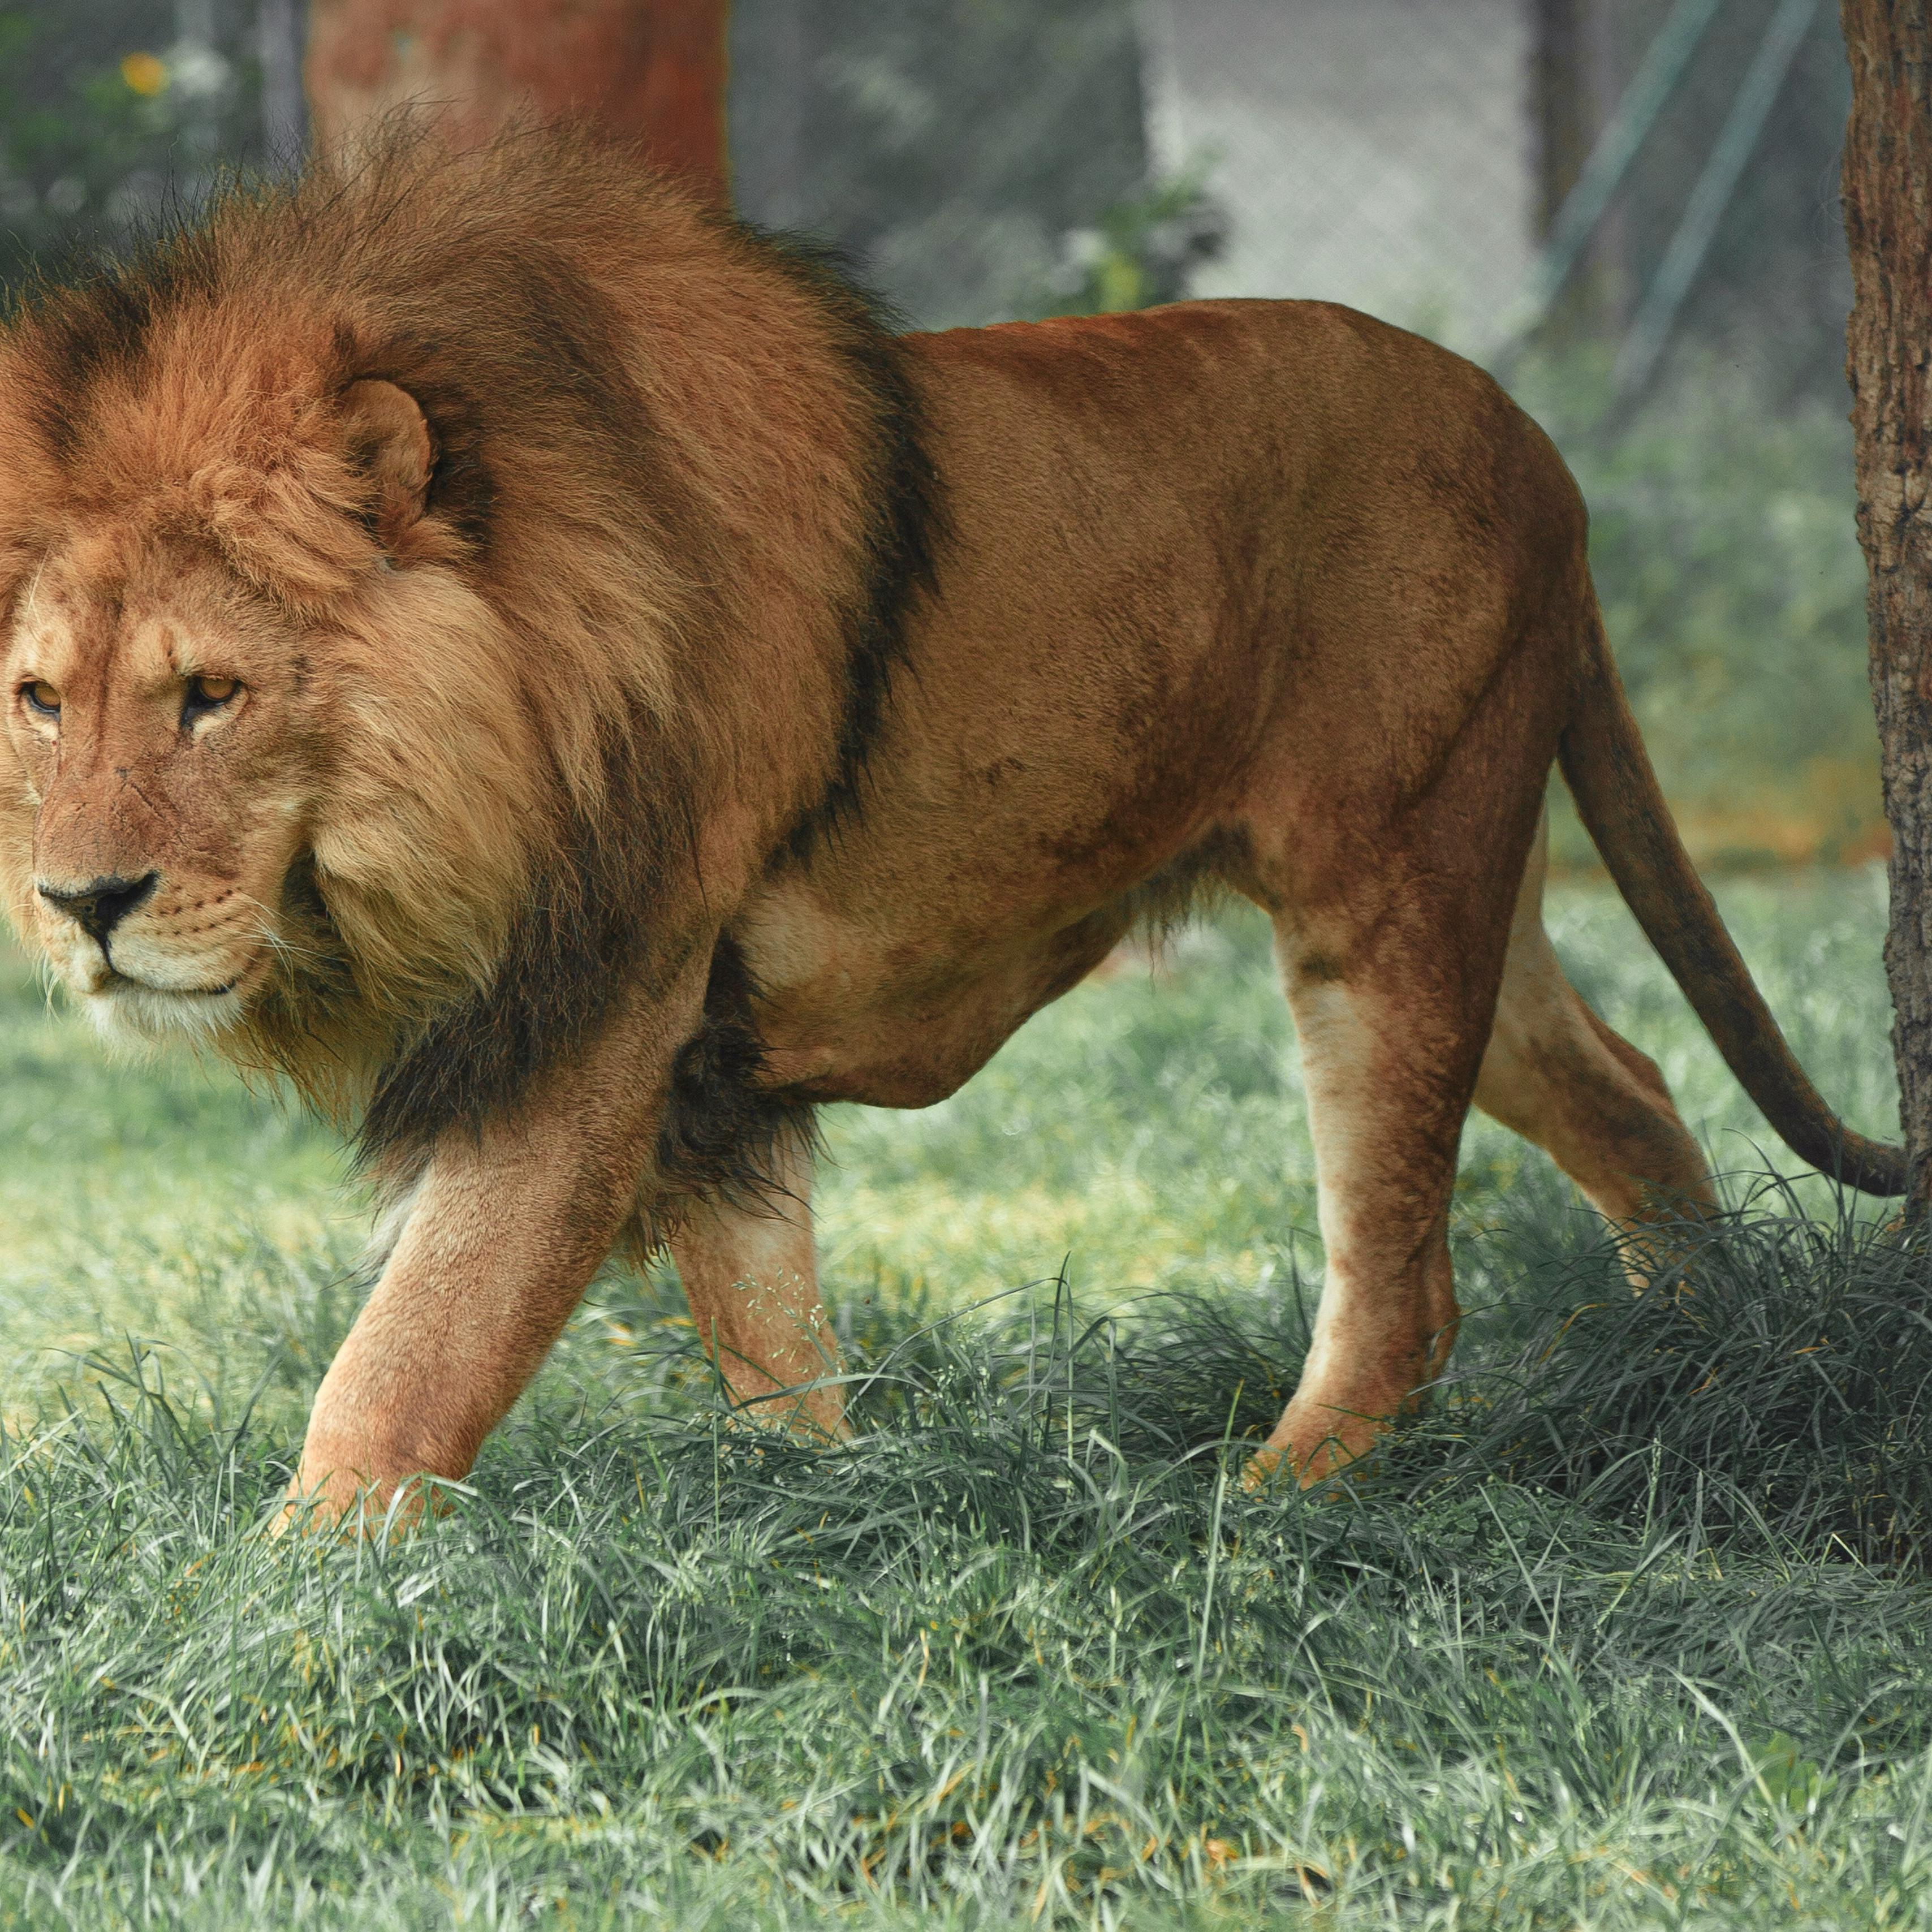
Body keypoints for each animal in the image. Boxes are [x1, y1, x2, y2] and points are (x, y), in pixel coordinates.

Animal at [0, 128, 1902, 1519]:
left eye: (211, 695)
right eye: (39, 700)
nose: (82, 904)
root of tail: (1540, 446)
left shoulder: (598, 1009)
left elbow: (414, 1351)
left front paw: (297, 1595)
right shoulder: (702, 1062)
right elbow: (768, 1332)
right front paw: (830, 1523)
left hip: (1388, 890)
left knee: (1404, 1286)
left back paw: (1260, 1509)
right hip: (1459, 883)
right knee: (1627, 1086)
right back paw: (1703, 1363)